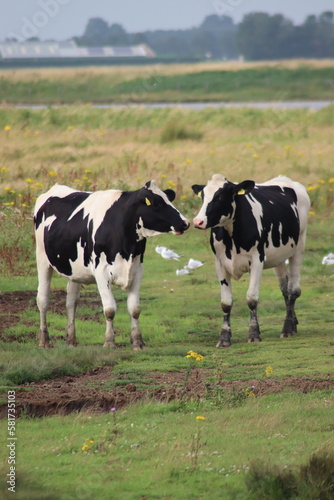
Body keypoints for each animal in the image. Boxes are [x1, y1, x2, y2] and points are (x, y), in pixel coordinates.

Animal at [35, 182, 190, 350]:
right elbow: (109, 309)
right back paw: (44, 341)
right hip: (42, 259)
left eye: (168, 199)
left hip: (75, 270)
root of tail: (55, 188)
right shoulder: (101, 272)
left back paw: (71, 340)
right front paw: (109, 342)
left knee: (71, 302)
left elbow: (135, 309)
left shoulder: (137, 270)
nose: (186, 223)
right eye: (158, 203)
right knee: (43, 299)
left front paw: (138, 342)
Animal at [193, 176, 310, 348]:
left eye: (220, 196)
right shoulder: (220, 263)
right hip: (279, 257)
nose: (198, 222)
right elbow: (225, 302)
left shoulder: (257, 260)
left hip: (299, 246)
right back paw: (293, 324)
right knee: (285, 290)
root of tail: (285, 179)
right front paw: (224, 337)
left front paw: (254, 334)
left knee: (293, 290)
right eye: (202, 196)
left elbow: (251, 298)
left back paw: (287, 328)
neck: (231, 238)